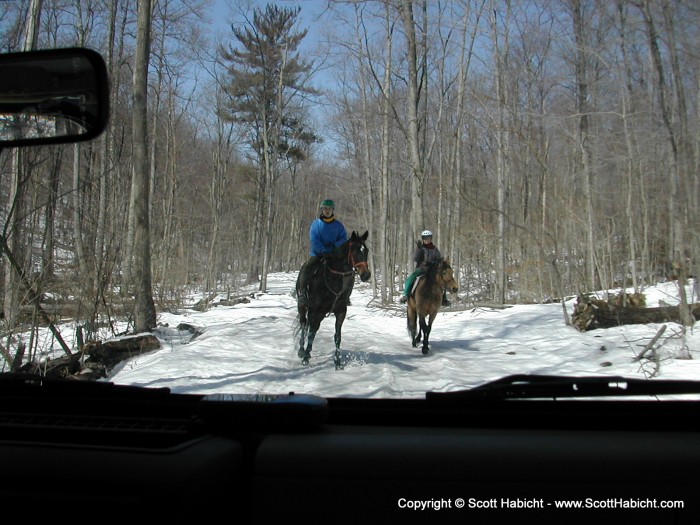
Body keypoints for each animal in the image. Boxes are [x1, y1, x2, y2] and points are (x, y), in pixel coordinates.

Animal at [294, 229, 372, 368]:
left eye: (366, 250)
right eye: (355, 251)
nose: (366, 275)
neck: (333, 279)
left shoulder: (340, 311)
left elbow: (337, 336)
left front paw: (338, 362)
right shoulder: (317, 311)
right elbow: (312, 333)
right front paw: (306, 358)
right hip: (302, 306)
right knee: (303, 324)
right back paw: (302, 351)